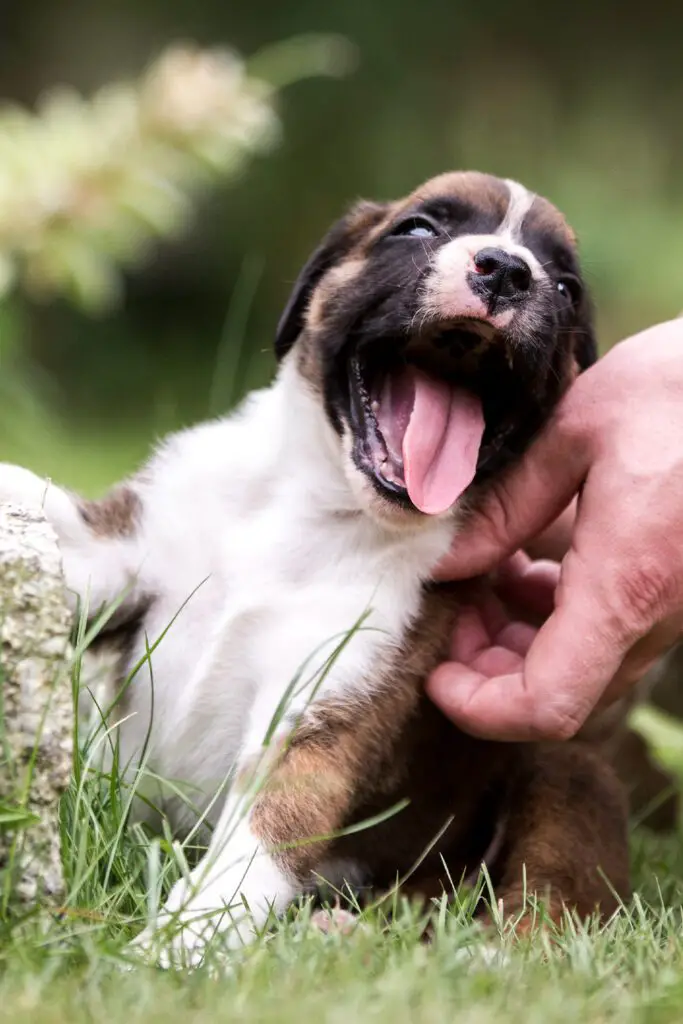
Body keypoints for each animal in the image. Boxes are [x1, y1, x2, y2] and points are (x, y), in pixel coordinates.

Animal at [0, 172, 630, 962]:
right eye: (418, 228)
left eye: (566, 287)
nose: (508, 270)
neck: (317, 502)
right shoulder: (117, 553)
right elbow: (48, 508)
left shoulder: (321, 715)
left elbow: (252, 852)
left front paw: (170, 953)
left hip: (563, 774)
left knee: (540, 901)